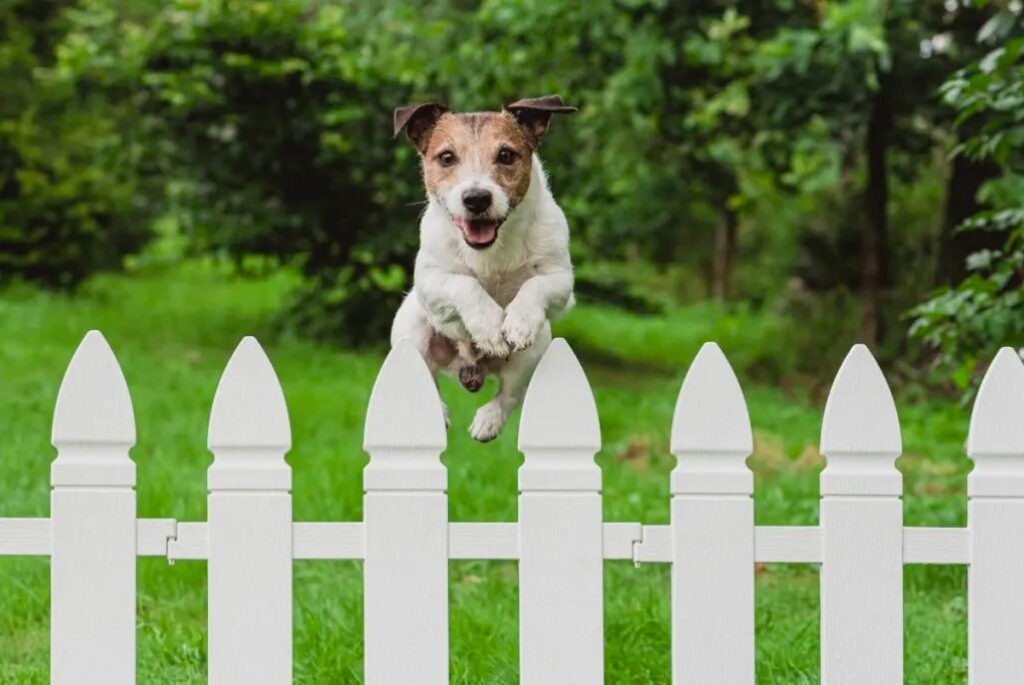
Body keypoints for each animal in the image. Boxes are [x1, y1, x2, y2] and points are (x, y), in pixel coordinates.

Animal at [391, 93, 581, 440]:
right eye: (447, 157)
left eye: (506, 155)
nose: (476, 198)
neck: (491, 251)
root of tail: (471, 369)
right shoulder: (430, 282)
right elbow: (464, 284)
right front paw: (490, 326)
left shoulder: (561, 282)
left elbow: (535, 284)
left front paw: (516, 322)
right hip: (412, 333)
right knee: (427, 380)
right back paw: (439, 413)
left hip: (536, 349)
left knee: (510, 394)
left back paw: (488, 420)